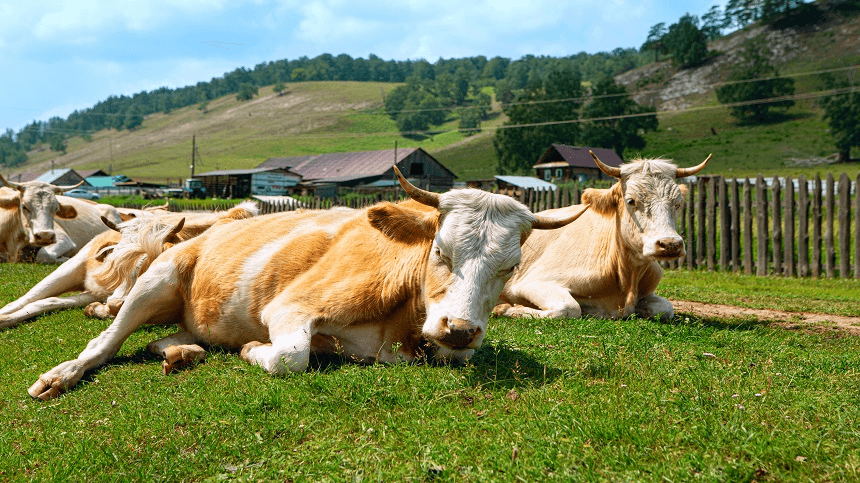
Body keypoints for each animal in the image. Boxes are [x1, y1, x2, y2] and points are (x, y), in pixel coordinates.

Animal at [28, 170, 592, 400]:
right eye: (440, 251)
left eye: (509, 268)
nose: (458, 328)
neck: (397, 329)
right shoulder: (289, 307)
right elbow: (290, 356)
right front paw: (255, 349)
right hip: (155, 280)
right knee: (106, 341)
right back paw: (62, 375)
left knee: (169, 338)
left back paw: (179, 351)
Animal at [494, 151, 708, 324]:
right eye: (631, 200)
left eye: (678, 203)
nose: (670, 244)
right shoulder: (532, 282)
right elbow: (569, 308)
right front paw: (504, 308)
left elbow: (666, 308)